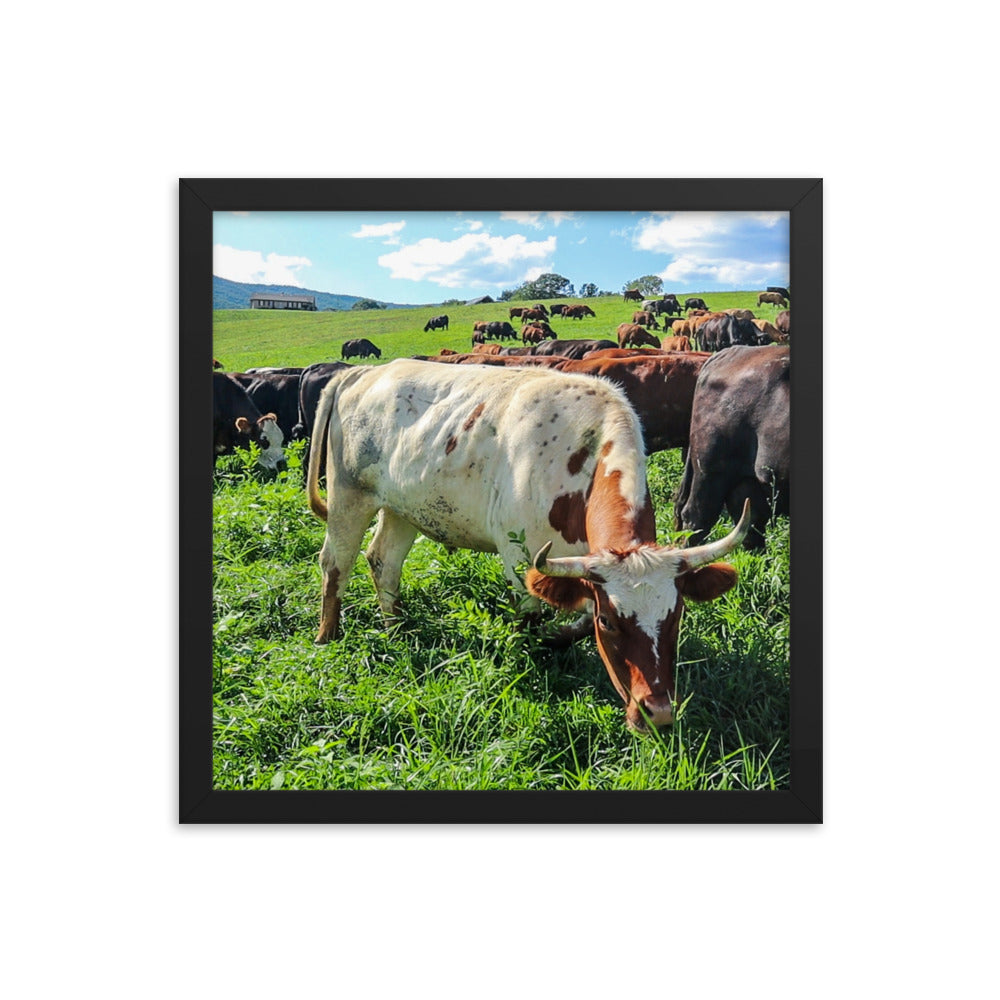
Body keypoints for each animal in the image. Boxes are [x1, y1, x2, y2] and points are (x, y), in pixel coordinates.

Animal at [306, 359, 750, 731]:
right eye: (611, 622)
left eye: (676, 616)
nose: (656, 713)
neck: (582, 457)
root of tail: (363, 372)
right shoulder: (520, 558)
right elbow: (531, 621)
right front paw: (533, 657)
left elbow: (576, 621)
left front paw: (559, 638)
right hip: (349, 496)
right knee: (335, 564)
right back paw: (328, 637)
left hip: (402, 508)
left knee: (384, 562)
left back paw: (396, 627)